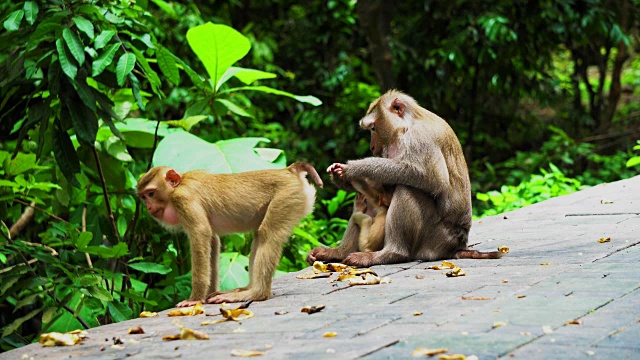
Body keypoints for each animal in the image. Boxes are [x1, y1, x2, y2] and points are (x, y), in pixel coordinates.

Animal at [138, 163, 322, 306]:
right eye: (143, 197)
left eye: (151, 193)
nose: (149, 208)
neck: (180, 183)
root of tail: (289, 170)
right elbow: (212, 240)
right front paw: (208, 293)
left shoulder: (183, 200)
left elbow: (201, 233)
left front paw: (194, 299)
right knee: (259, 235)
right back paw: (246, 288)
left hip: (287, 197)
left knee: (268, 233)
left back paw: (256, 293)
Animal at [306, 90, 504, 268]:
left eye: (373, 128)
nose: (372, 147)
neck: (408, 124)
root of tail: (457, 246)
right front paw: (341, 177)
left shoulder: (420, 138)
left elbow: (433, 180)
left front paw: (356, 168)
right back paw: (339, 252)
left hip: (435, 240)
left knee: (408, 189)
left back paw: (390, 254)